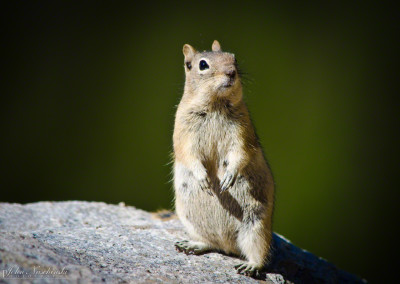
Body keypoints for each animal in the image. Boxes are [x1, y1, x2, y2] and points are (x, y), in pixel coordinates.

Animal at [173, 40, 276, 278]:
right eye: (202, 64)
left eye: (233, 58)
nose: (231, 72)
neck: (215, 105)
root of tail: (228, 246)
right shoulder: (183, 132)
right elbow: (189, 155)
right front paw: (203, 178)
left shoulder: (242, 133)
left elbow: (240, 153)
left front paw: (229, 176)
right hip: (192, 221)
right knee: (211, 244)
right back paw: (192, 245)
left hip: (255, 226)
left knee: (259, 253)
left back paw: (251, 265)